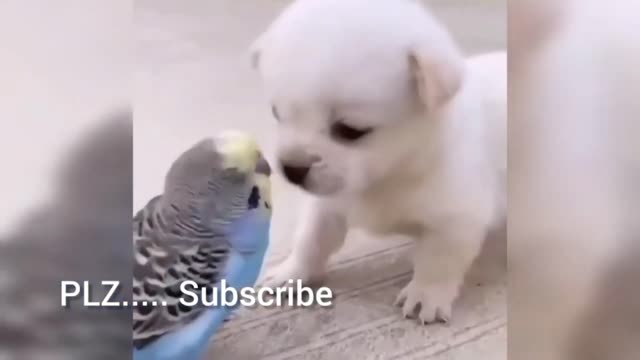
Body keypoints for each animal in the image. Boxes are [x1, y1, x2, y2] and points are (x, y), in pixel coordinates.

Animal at [250, 0, 504, 324]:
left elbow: (438, 261)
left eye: (350, 130)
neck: (388, 174)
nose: (292, 169)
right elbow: (311, 240)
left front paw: (426, 294)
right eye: (277, 114)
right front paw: (292, 272)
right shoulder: (327, 206)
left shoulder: (456, 219)